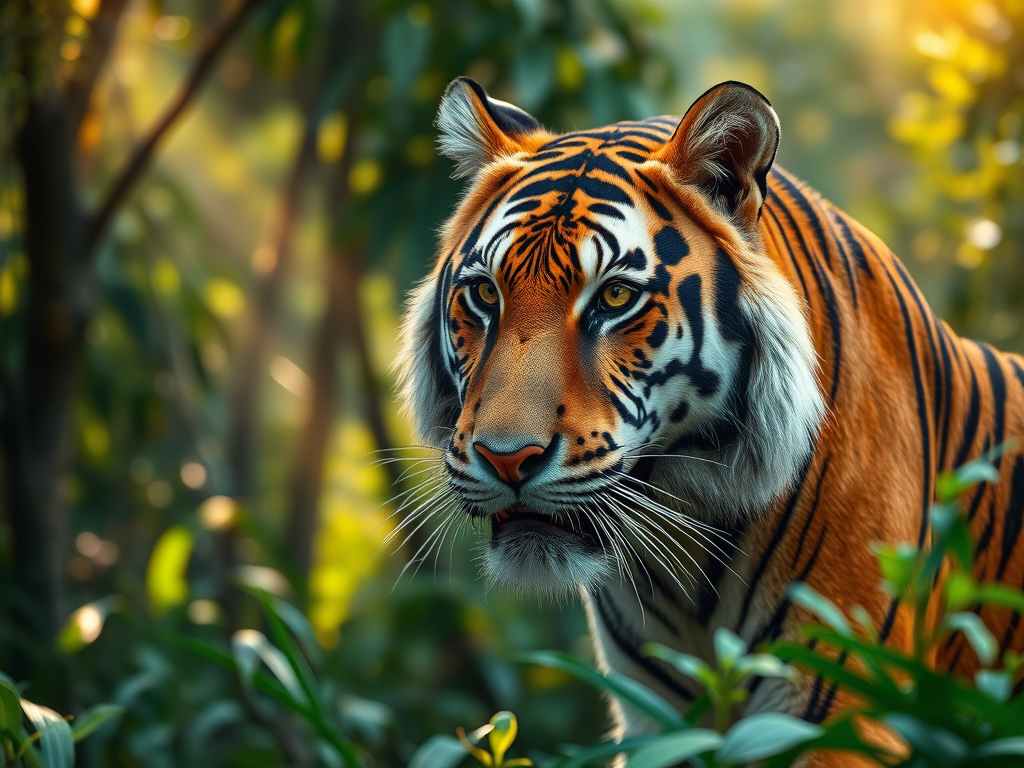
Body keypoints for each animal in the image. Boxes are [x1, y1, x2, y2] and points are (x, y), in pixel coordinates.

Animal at [395, 77, 1024, 764]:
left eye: (615, 297)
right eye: (486, 294)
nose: (506, 458)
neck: (685, 536)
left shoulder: (842, 707)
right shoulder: (656, 716)